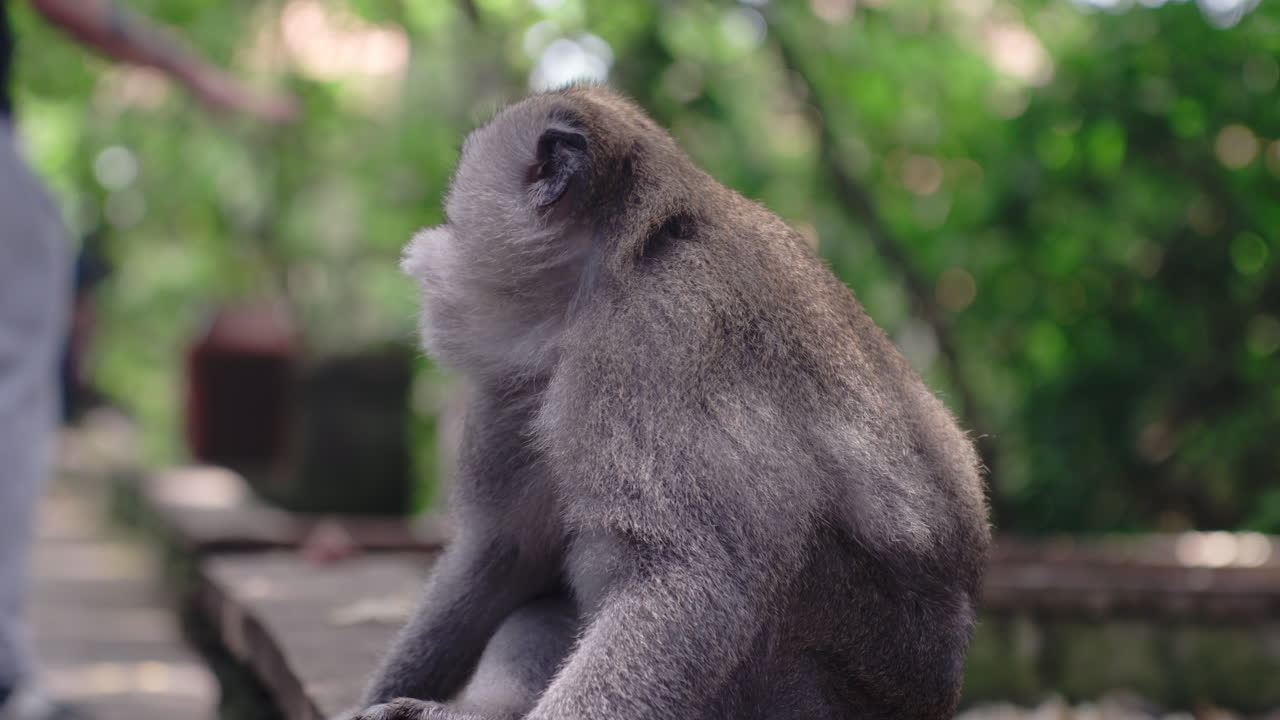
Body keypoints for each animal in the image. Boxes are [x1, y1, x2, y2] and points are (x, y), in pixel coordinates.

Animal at [348, 85, 990, 720]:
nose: (439, 229)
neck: (615, 260)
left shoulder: (654, 337)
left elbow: (694, 579)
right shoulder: (521, 389)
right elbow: (502, 556)